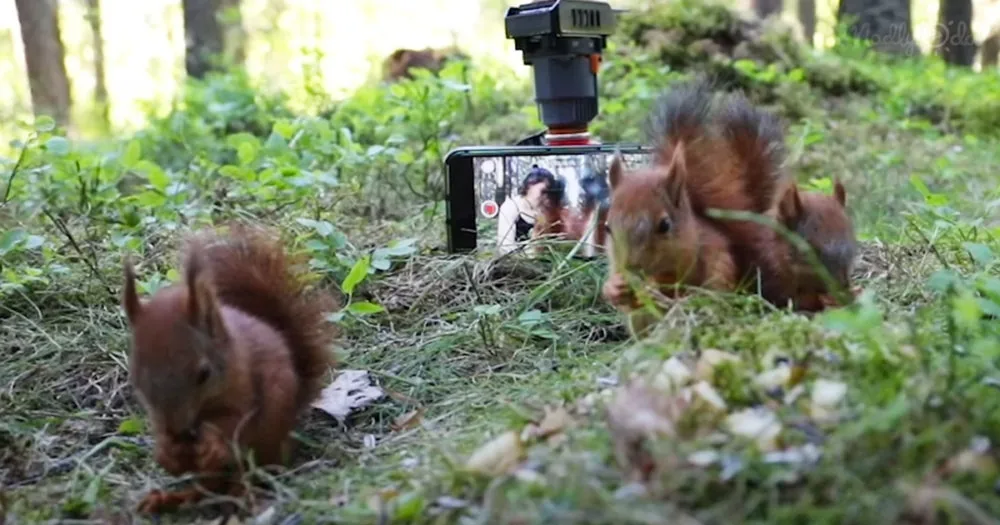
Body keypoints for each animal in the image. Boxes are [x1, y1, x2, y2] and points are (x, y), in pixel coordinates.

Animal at [121, 223, 339, 514]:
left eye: (204, 374)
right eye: (136, 380)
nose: (178, 430)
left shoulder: (247, 384)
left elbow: (235, 422)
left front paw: (212, 444)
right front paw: (166, 452)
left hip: (268, 438)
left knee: (251, 471)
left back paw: (242, 493)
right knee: (208, 486)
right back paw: (173, 498)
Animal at [601, 78, 799, 332]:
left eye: (664, 225)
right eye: (607, 227)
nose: (632, 268)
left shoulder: (695, 257)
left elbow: (676, 283)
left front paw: (653, 289)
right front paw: (615, 287)